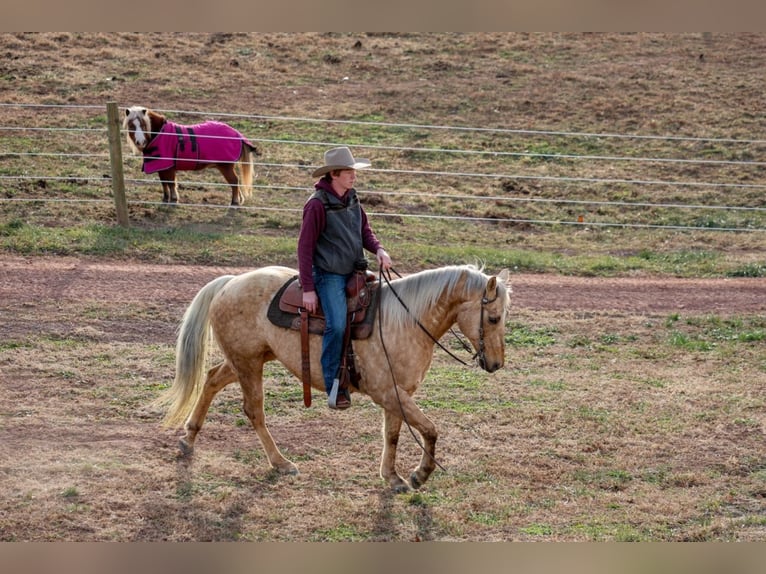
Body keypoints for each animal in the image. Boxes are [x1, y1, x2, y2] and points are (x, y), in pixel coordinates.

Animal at [123, 106, 260, 206]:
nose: (140, 142)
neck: (160, 134)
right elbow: (164, 183)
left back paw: (234, 202)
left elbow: (171, 182)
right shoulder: (161, 167)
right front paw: (165, 199)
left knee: (234, 181)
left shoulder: (168, 167)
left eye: (143, 125)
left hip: (225, 166)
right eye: (131, 126)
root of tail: (237, 134)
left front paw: (173, 199)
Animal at [156, 264, 511, 493]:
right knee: (253, 410)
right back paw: (280, 462)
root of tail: (230, 282)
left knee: (212, 379)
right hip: (248, 364)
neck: (405, 321)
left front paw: (391, 476)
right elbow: (430, 429)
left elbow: (393, 435)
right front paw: (419, 475)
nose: (496, 363)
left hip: (248, 359)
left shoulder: (398, 394)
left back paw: (189, 438)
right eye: (493, 317)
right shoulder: (388, 392)